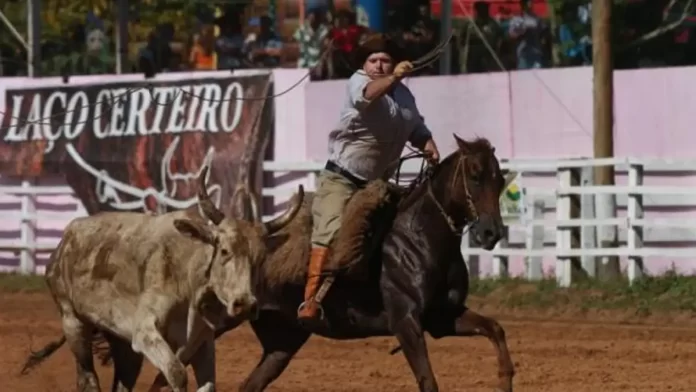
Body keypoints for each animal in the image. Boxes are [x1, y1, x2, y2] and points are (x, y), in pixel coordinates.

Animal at [100, 135, 512, 392]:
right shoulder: (405, 321)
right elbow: (428, 380)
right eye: (475, 175)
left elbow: (495, 329)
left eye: (500, 178)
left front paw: (505, 377)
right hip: (207, 329)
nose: (491, 232)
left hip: (282, 342)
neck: (419, 238)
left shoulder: (441, 318)